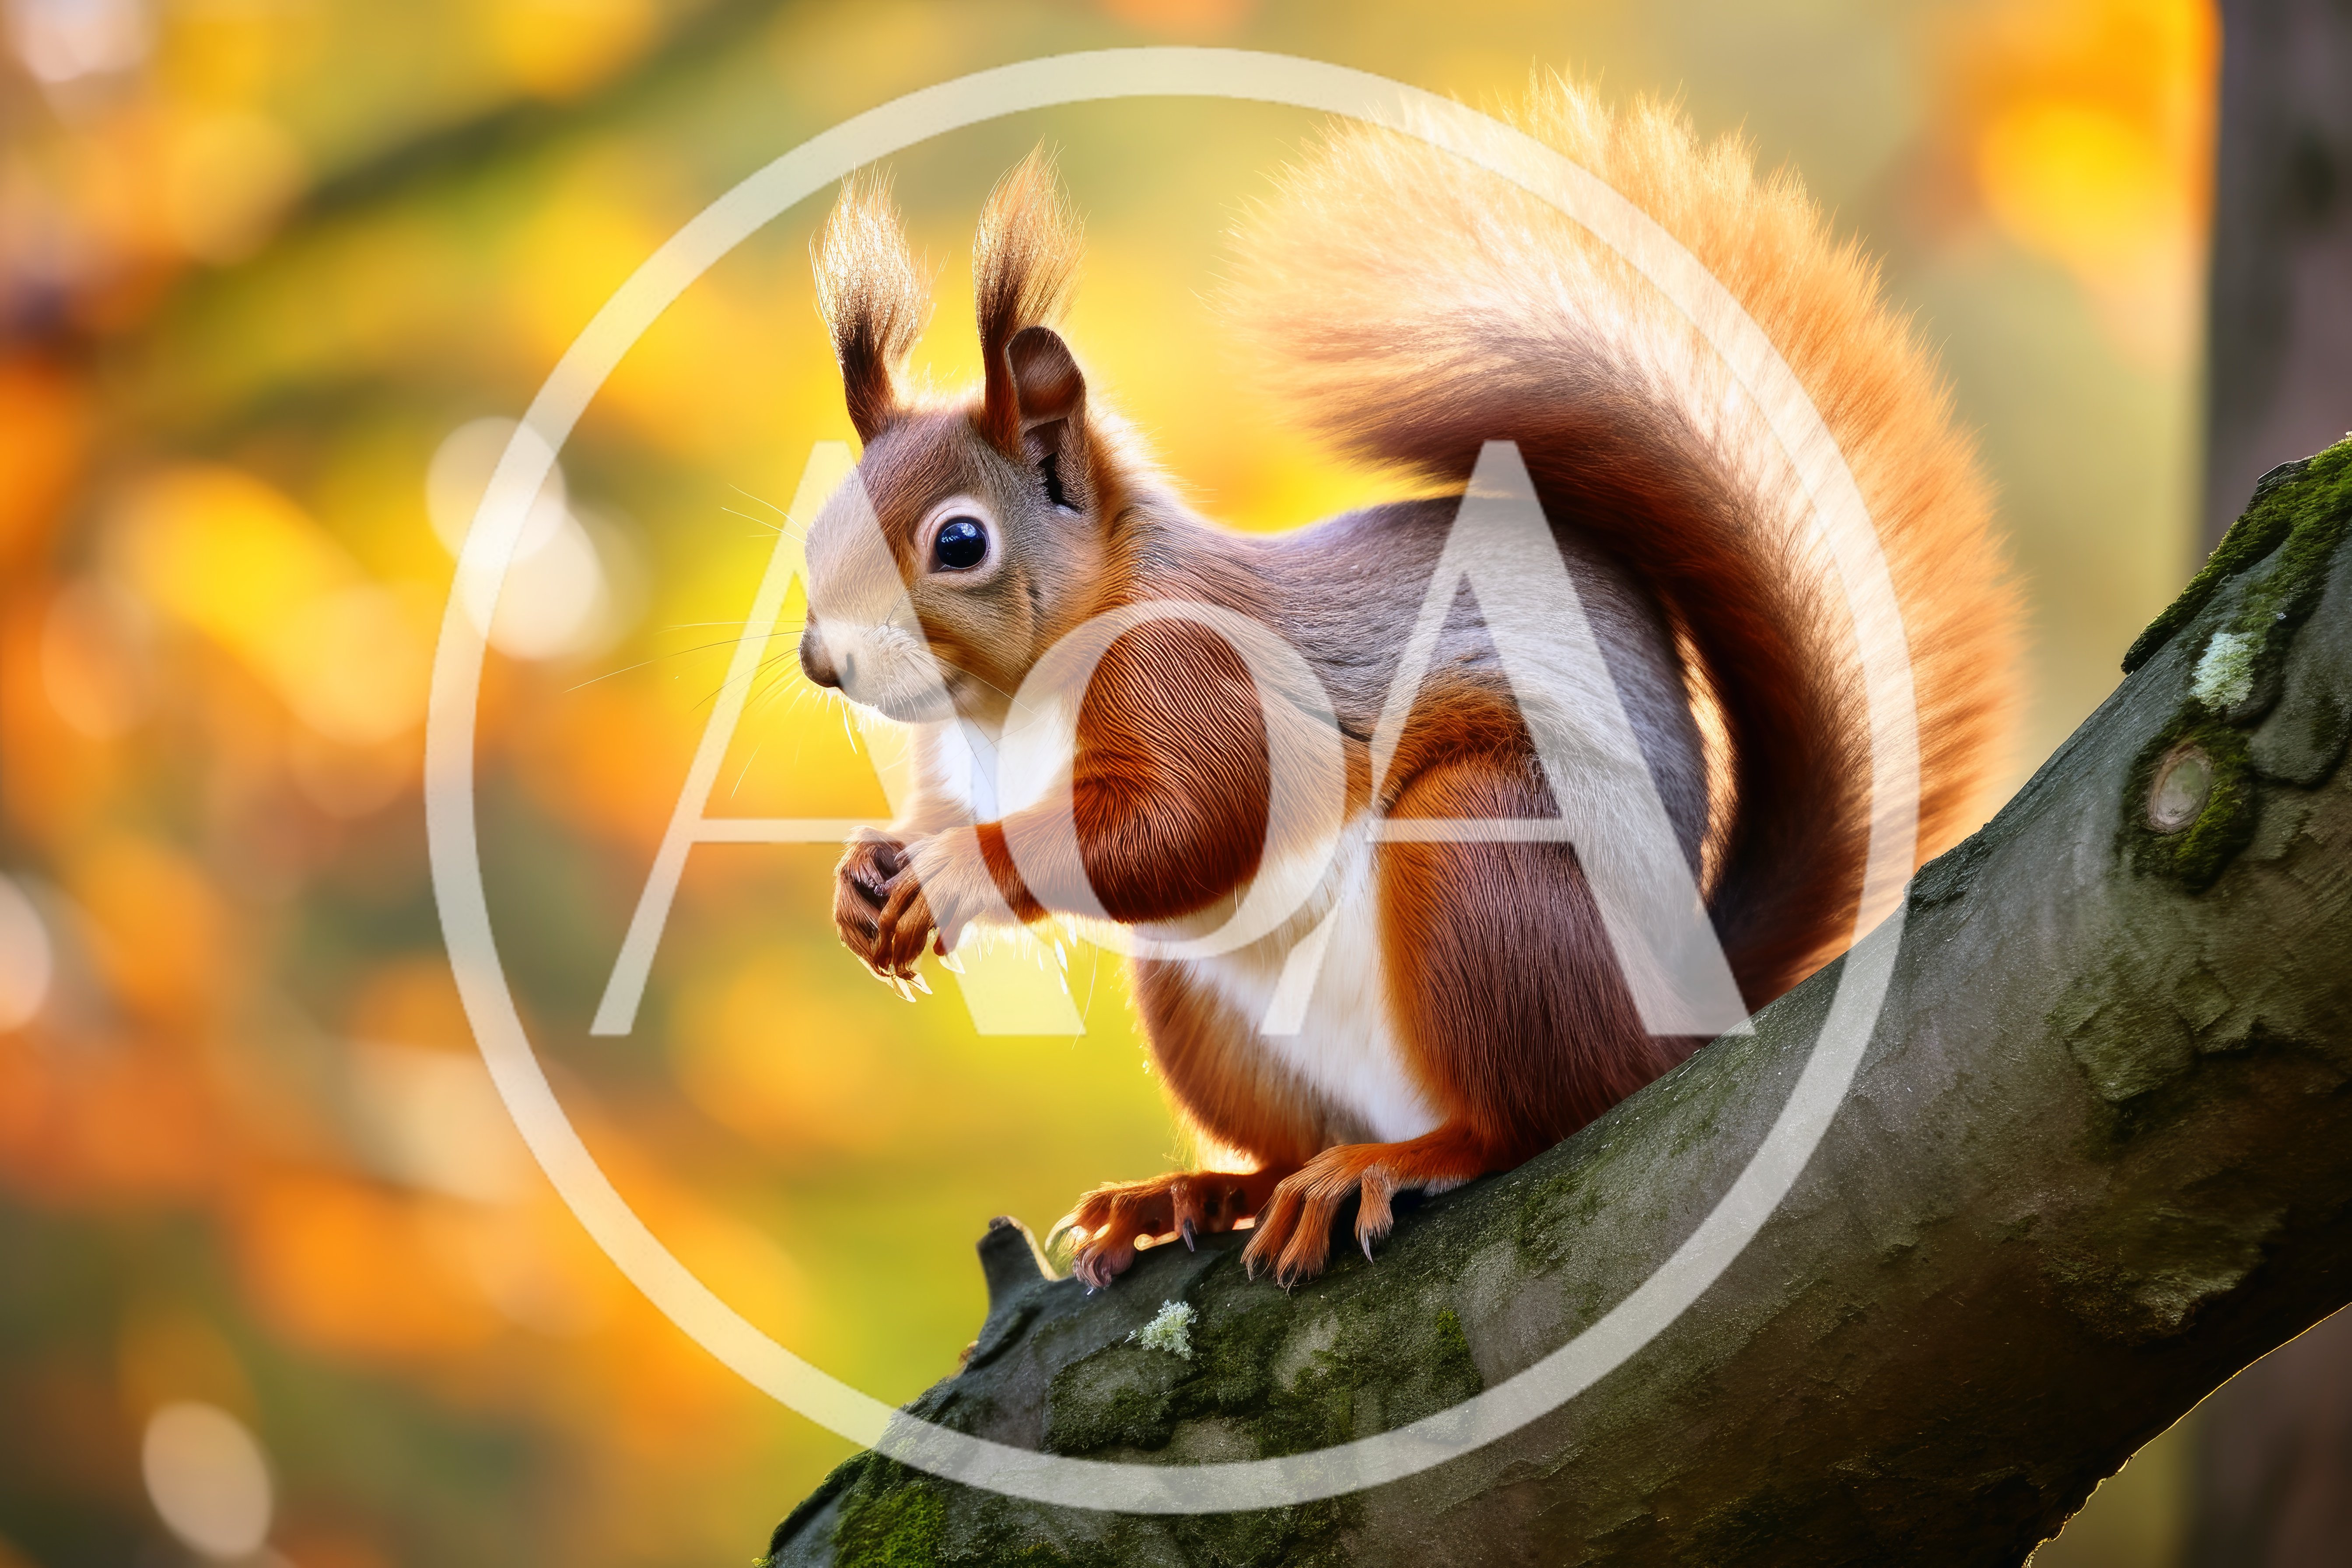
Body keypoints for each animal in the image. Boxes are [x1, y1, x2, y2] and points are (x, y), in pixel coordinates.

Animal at [794, 79, 2018, 1289]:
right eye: (824, 519)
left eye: (961, 542)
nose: (821, 660)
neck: (1007, 702)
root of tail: (1678, 1015)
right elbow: (966, 815)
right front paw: (866, 877)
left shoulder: (1196, 676)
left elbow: (1193, 823)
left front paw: (956, 869)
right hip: (1202, 1004)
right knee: (1287, 1137)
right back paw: (1198, 1190)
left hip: (1488, 865)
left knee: (1539, 1114)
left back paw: (1395, 1163)